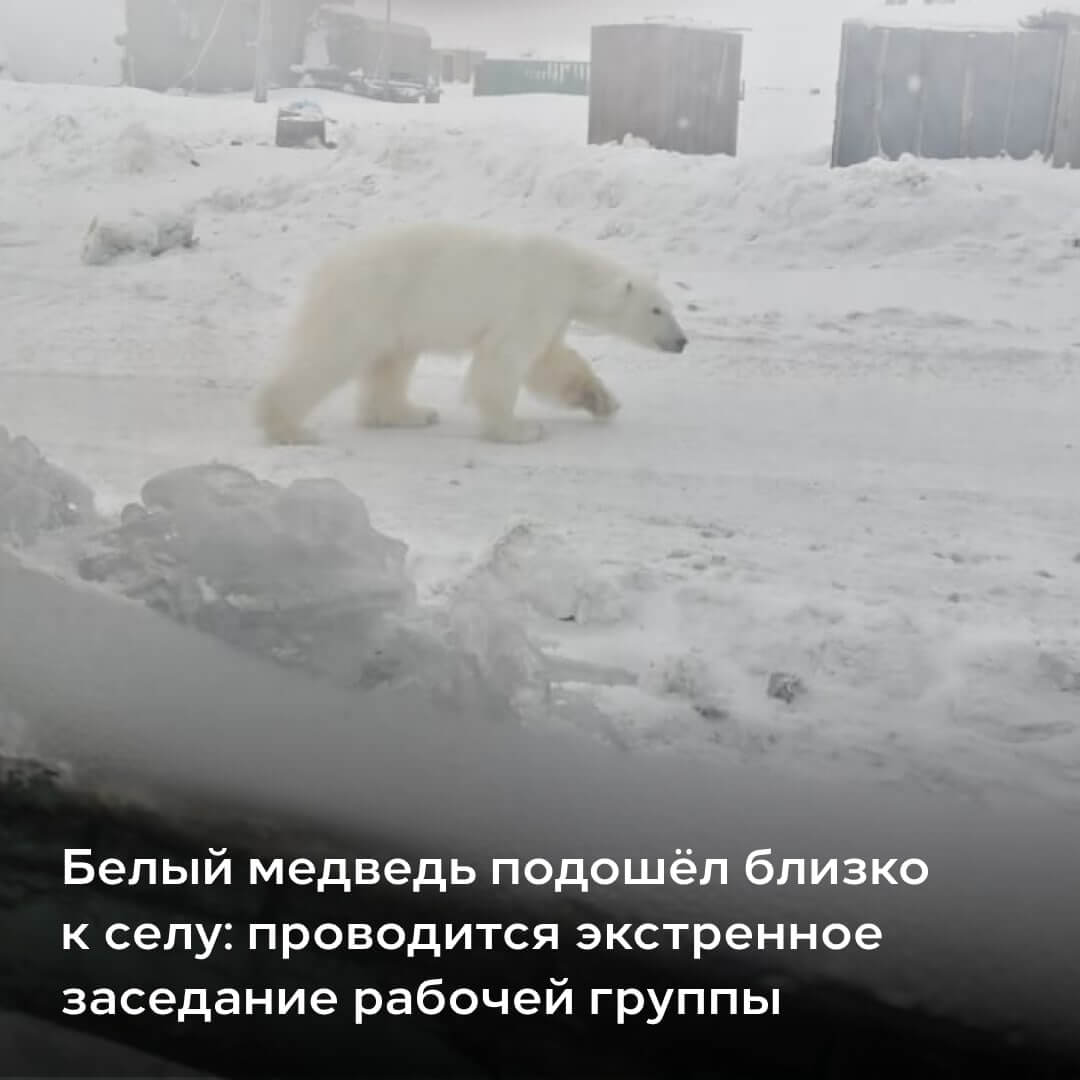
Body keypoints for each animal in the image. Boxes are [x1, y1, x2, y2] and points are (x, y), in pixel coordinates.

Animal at [254, 219, 682, 442]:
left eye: (671, 307)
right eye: (656, 309)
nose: (681, 341)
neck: (571, 273)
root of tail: (327, 269)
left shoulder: (553, 311)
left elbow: (549, 361)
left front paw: (602, 400)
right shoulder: (533, 298)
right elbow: (504, 361)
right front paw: (520, 428)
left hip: (398, 316)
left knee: (393, 362)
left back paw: (412, 413)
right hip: (370, 302)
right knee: (330, 355)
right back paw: (288, 426)